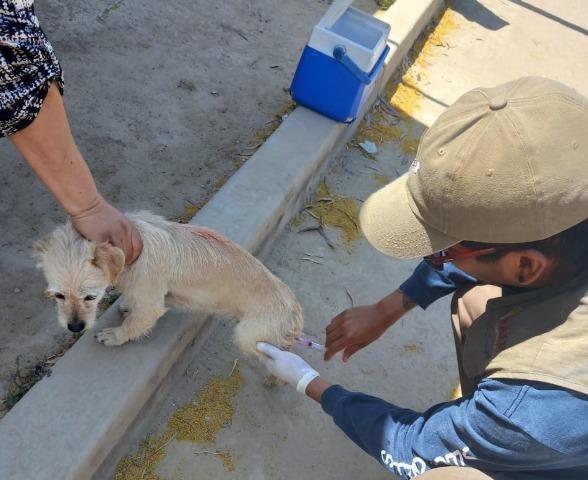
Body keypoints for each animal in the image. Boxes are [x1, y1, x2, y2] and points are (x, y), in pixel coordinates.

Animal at [33, 211, 304, 364]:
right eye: (58, 295)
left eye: (90, 297)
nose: (74, 328)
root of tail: (293, 308)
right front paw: (126, 306)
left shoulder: (151, 305)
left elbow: (134, 324)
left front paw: (115, 335)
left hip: (247, 336)